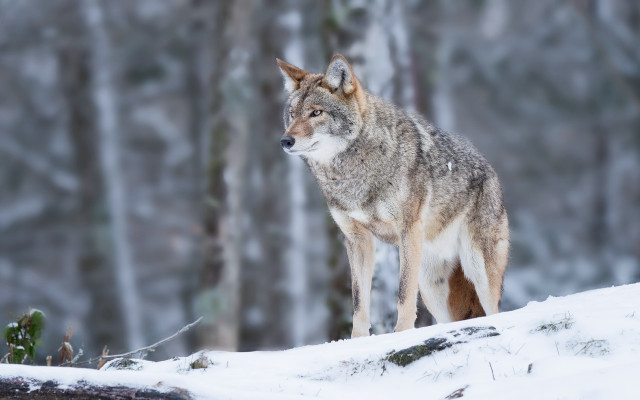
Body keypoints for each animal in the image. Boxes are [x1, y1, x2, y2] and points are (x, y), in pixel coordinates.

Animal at [276, 54, 509, 338]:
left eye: (316, 113)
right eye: (292, 114)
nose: (285, 141)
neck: (353, 173)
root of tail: (491, 171)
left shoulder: (407, 230)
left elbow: (403, 294)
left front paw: (401, 333)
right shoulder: (356, 239)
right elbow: (359, 302)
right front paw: (357, 340)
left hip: (478, 270)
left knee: (495, 311)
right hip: (432, 288)